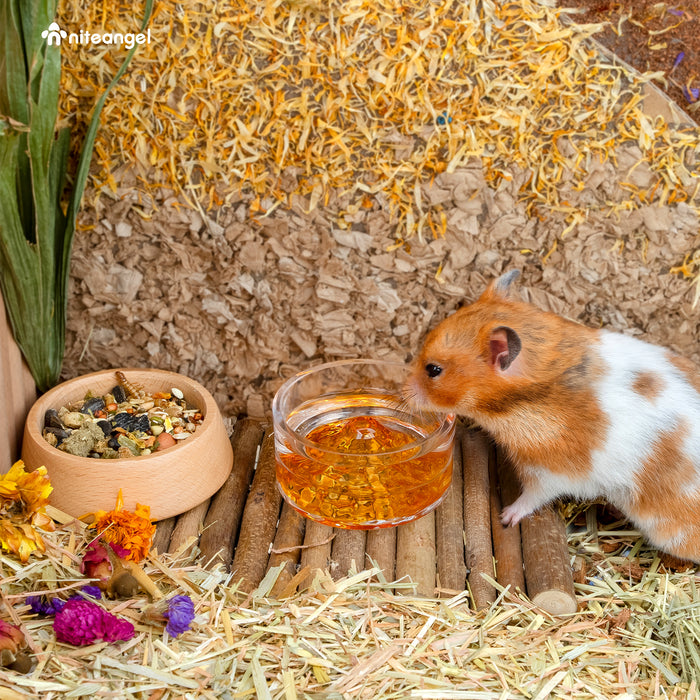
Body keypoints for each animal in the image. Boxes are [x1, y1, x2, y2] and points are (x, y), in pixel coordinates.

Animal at [402, 268, 700, 564]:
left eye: (433, 370)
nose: (402, 390)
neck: (528, 399)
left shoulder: (549, 471)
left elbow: (532, 497)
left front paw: (506, 517)